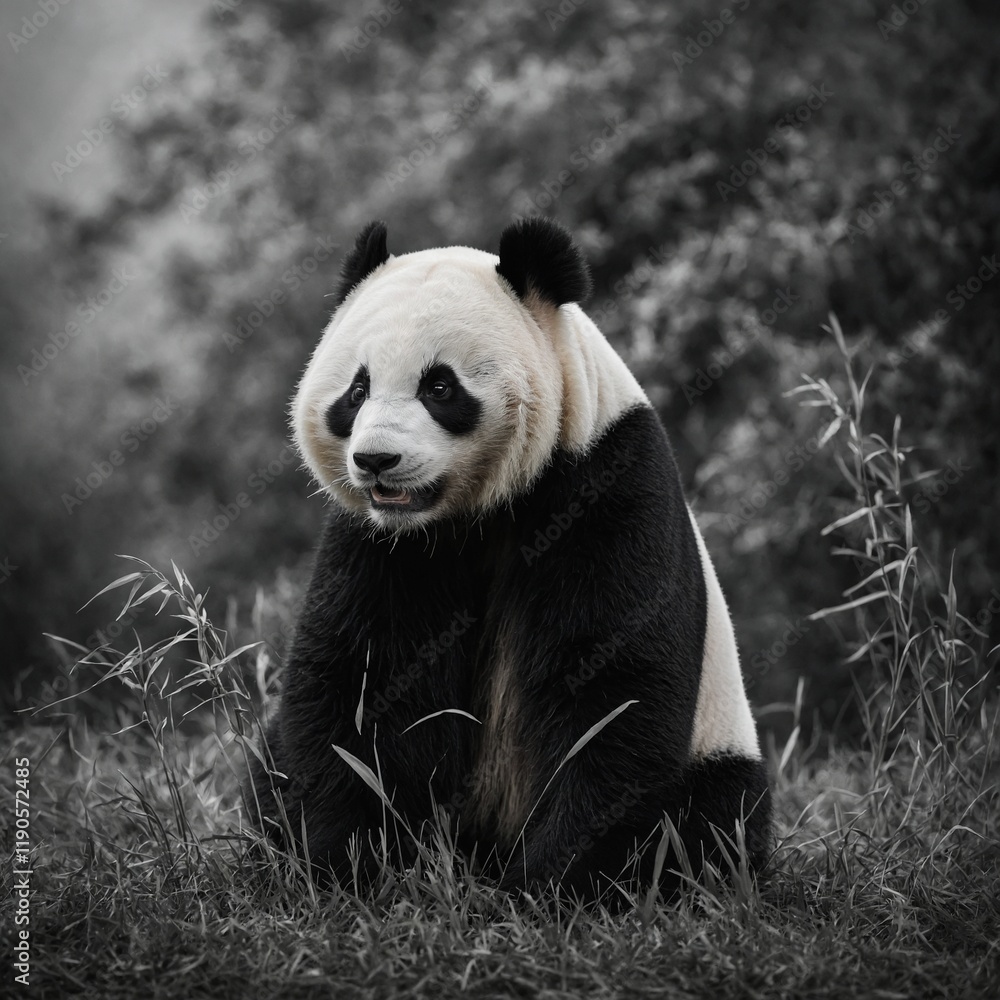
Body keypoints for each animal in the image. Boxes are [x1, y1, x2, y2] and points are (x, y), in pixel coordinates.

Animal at [248, 217, 771, 902]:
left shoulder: (605, 484)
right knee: (266, 765)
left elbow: (612, 690)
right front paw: (344, 866)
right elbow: (356, 680)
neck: (476, 512)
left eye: (439, 386)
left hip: (716, 745)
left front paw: (551, 888)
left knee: (717, 816)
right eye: (357, 390)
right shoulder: (379, 545)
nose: (376, 461)